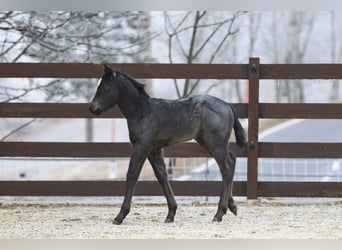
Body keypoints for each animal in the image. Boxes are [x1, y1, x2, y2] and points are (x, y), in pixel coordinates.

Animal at [89, 64, 246, 225]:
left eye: (106, 86)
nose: (92, 108)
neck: (142, 112)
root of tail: (227, 105)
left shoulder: (141, 146)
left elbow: (132, 174)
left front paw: (120, 215)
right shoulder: (154, 149)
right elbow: (161, 175)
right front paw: (171, 213)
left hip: (215, 143)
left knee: (226, 168)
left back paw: (219, 213)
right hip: (208, 141)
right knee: (232, 159)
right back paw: (232, 206)